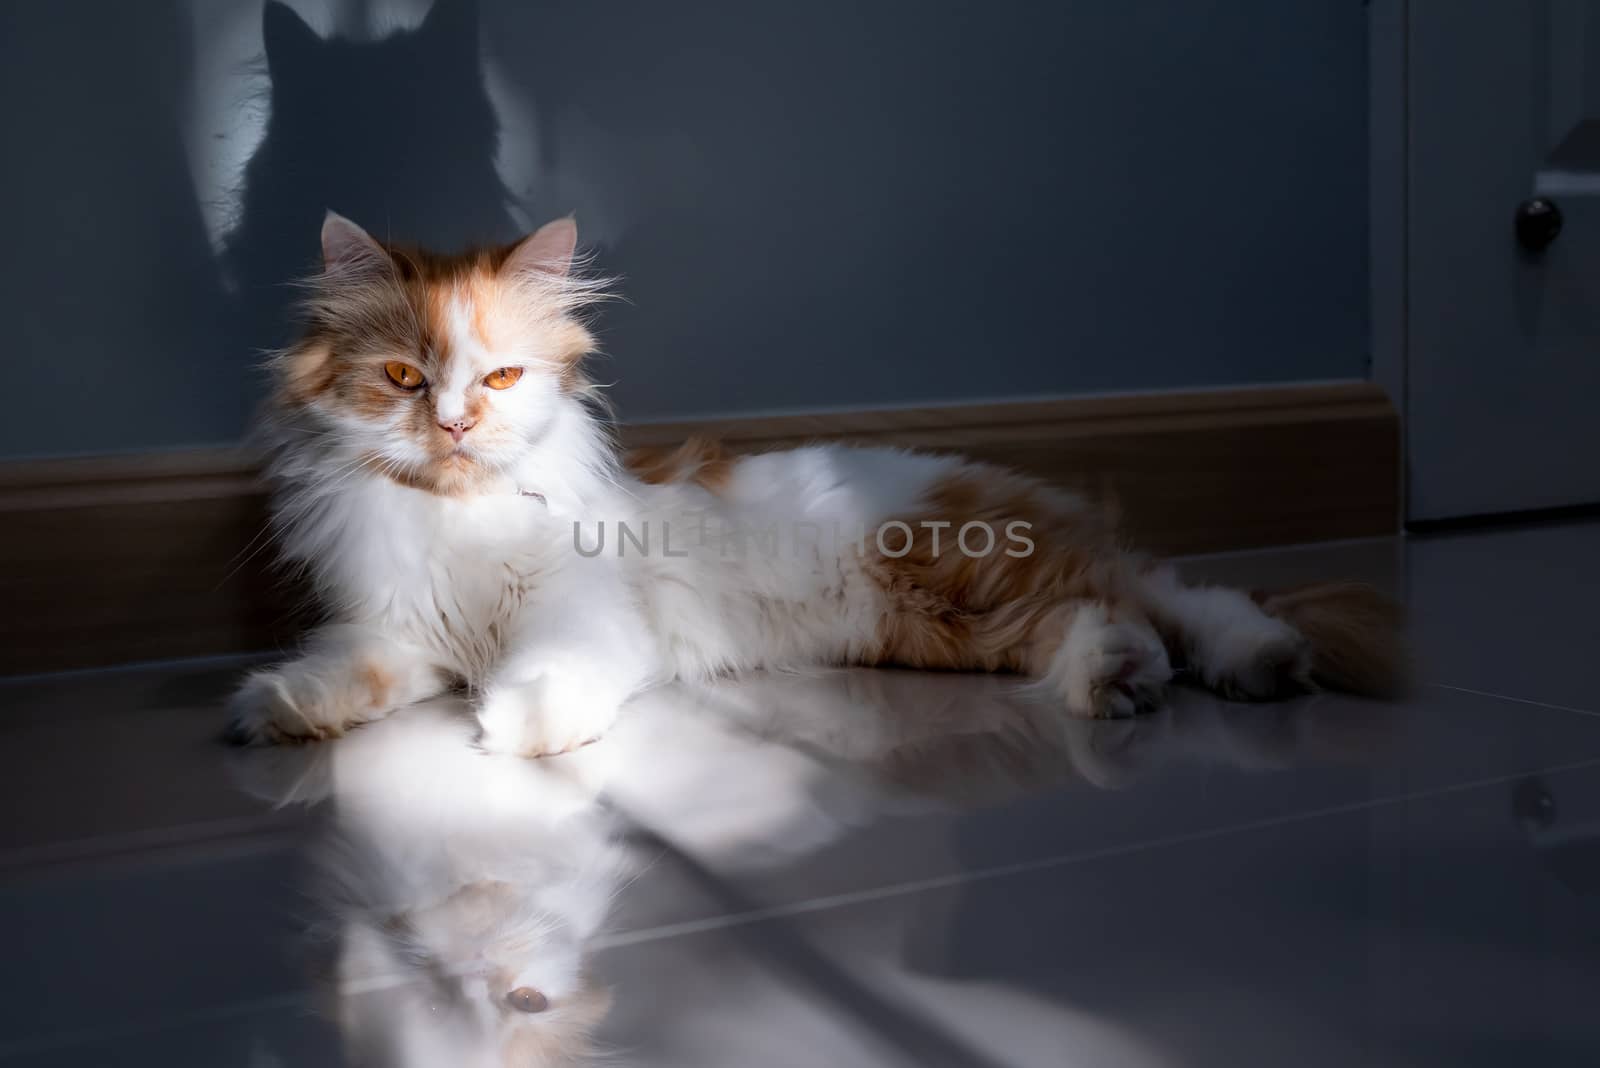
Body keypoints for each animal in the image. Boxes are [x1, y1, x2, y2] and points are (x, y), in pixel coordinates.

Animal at [232, 212, 1408, 754]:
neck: (455, 525)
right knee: (1139, 615)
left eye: (502, 377)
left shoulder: (582, 615)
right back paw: (1177, 675)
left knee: (1166, 603)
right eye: (403, 377)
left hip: (972, 580)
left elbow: (545, 675)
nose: (455, 422)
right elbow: (351, 673)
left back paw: (1214, 670)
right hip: (960, 627)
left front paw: (521, 726)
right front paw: (275, 709)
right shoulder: (408, 632)